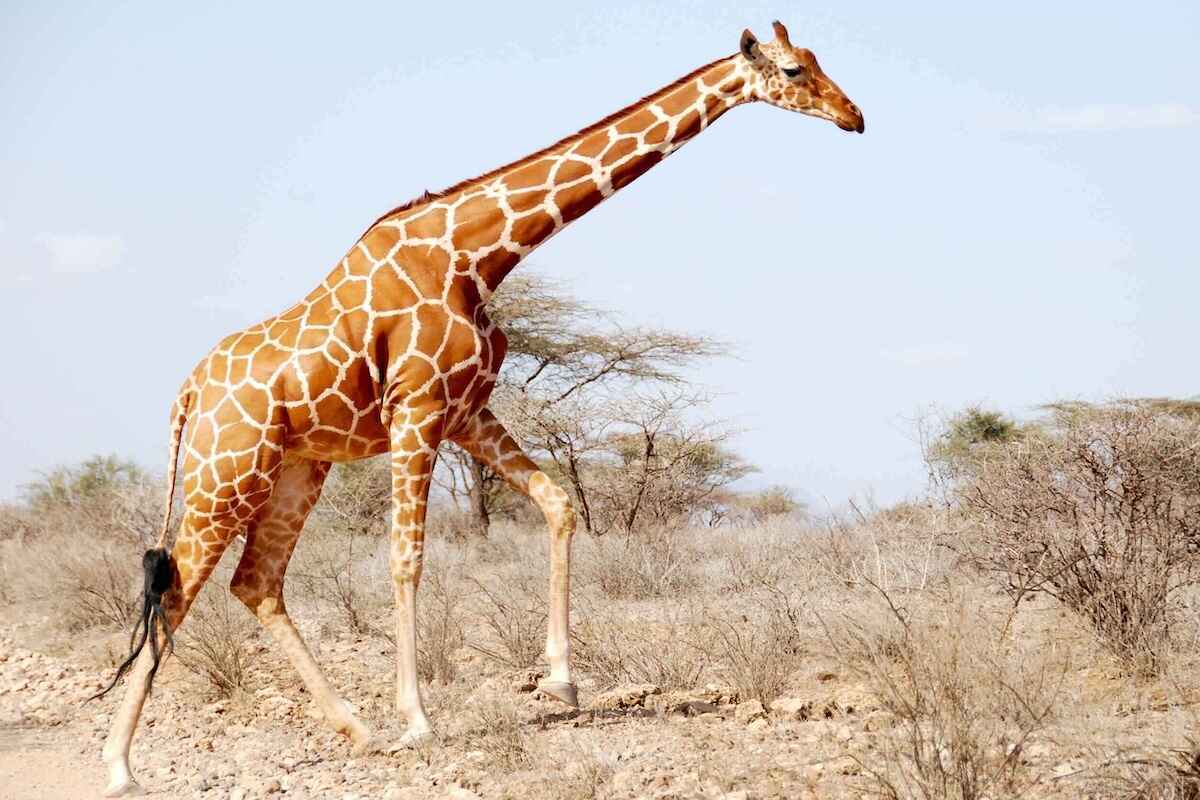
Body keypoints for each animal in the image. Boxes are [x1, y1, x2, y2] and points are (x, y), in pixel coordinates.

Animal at [96, 21, 863, 797]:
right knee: (176, 590)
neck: (475, 253)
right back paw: (120, 763)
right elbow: (406, 559)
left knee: (255, 582)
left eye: (819, 61)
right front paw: (418, 720)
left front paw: (560, 682)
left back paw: (356, 730)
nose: (854, 117)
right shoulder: (417, 411)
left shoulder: (468, 411)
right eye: (794, 71)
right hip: (227, 471)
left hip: (295, 468)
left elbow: (558, 503)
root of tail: (188, 393)